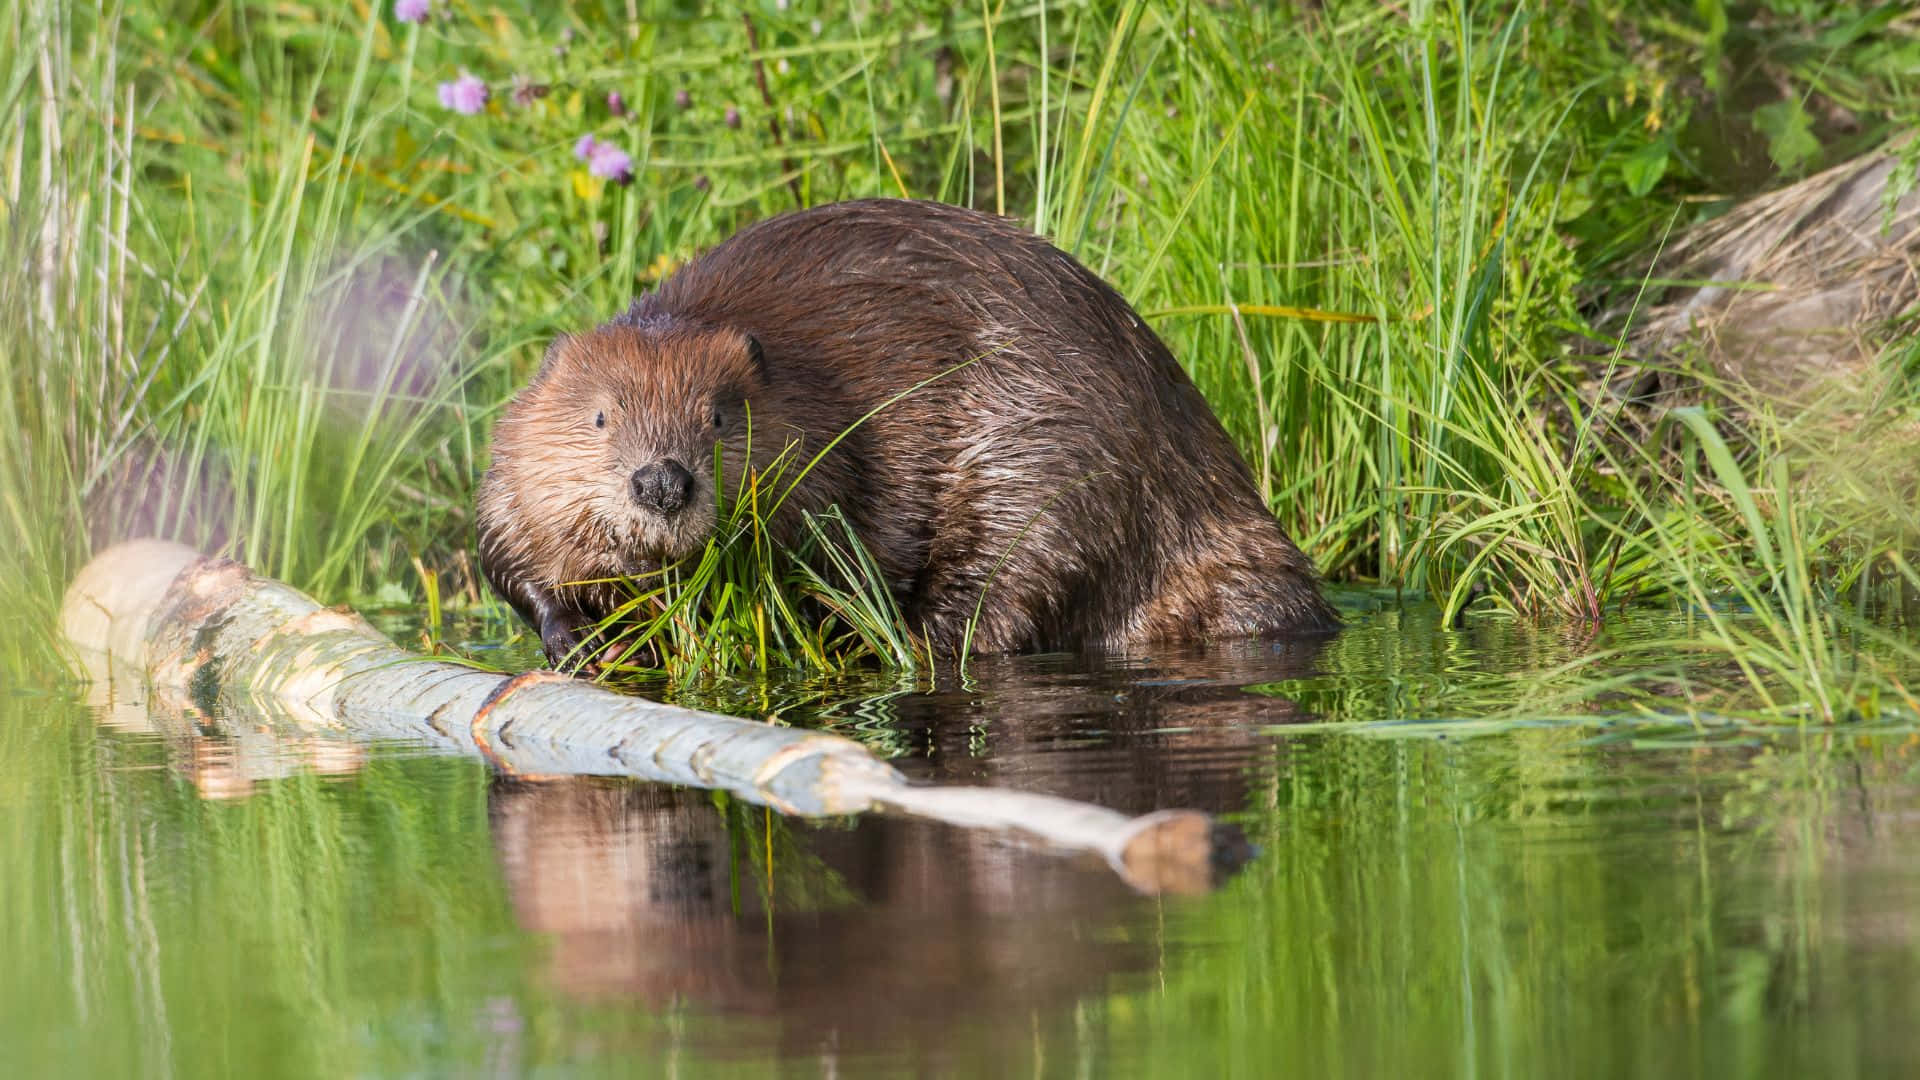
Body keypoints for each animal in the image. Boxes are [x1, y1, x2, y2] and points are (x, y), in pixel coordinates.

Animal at [480, 195, 1336, 664]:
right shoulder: (513, 469)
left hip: (1049, 463)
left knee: (1005, 590)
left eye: (720, 415)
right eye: (599, 414)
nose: (662, 482)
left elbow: (856, 548)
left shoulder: (849, 449)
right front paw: (584, 639)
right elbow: (506, 557)